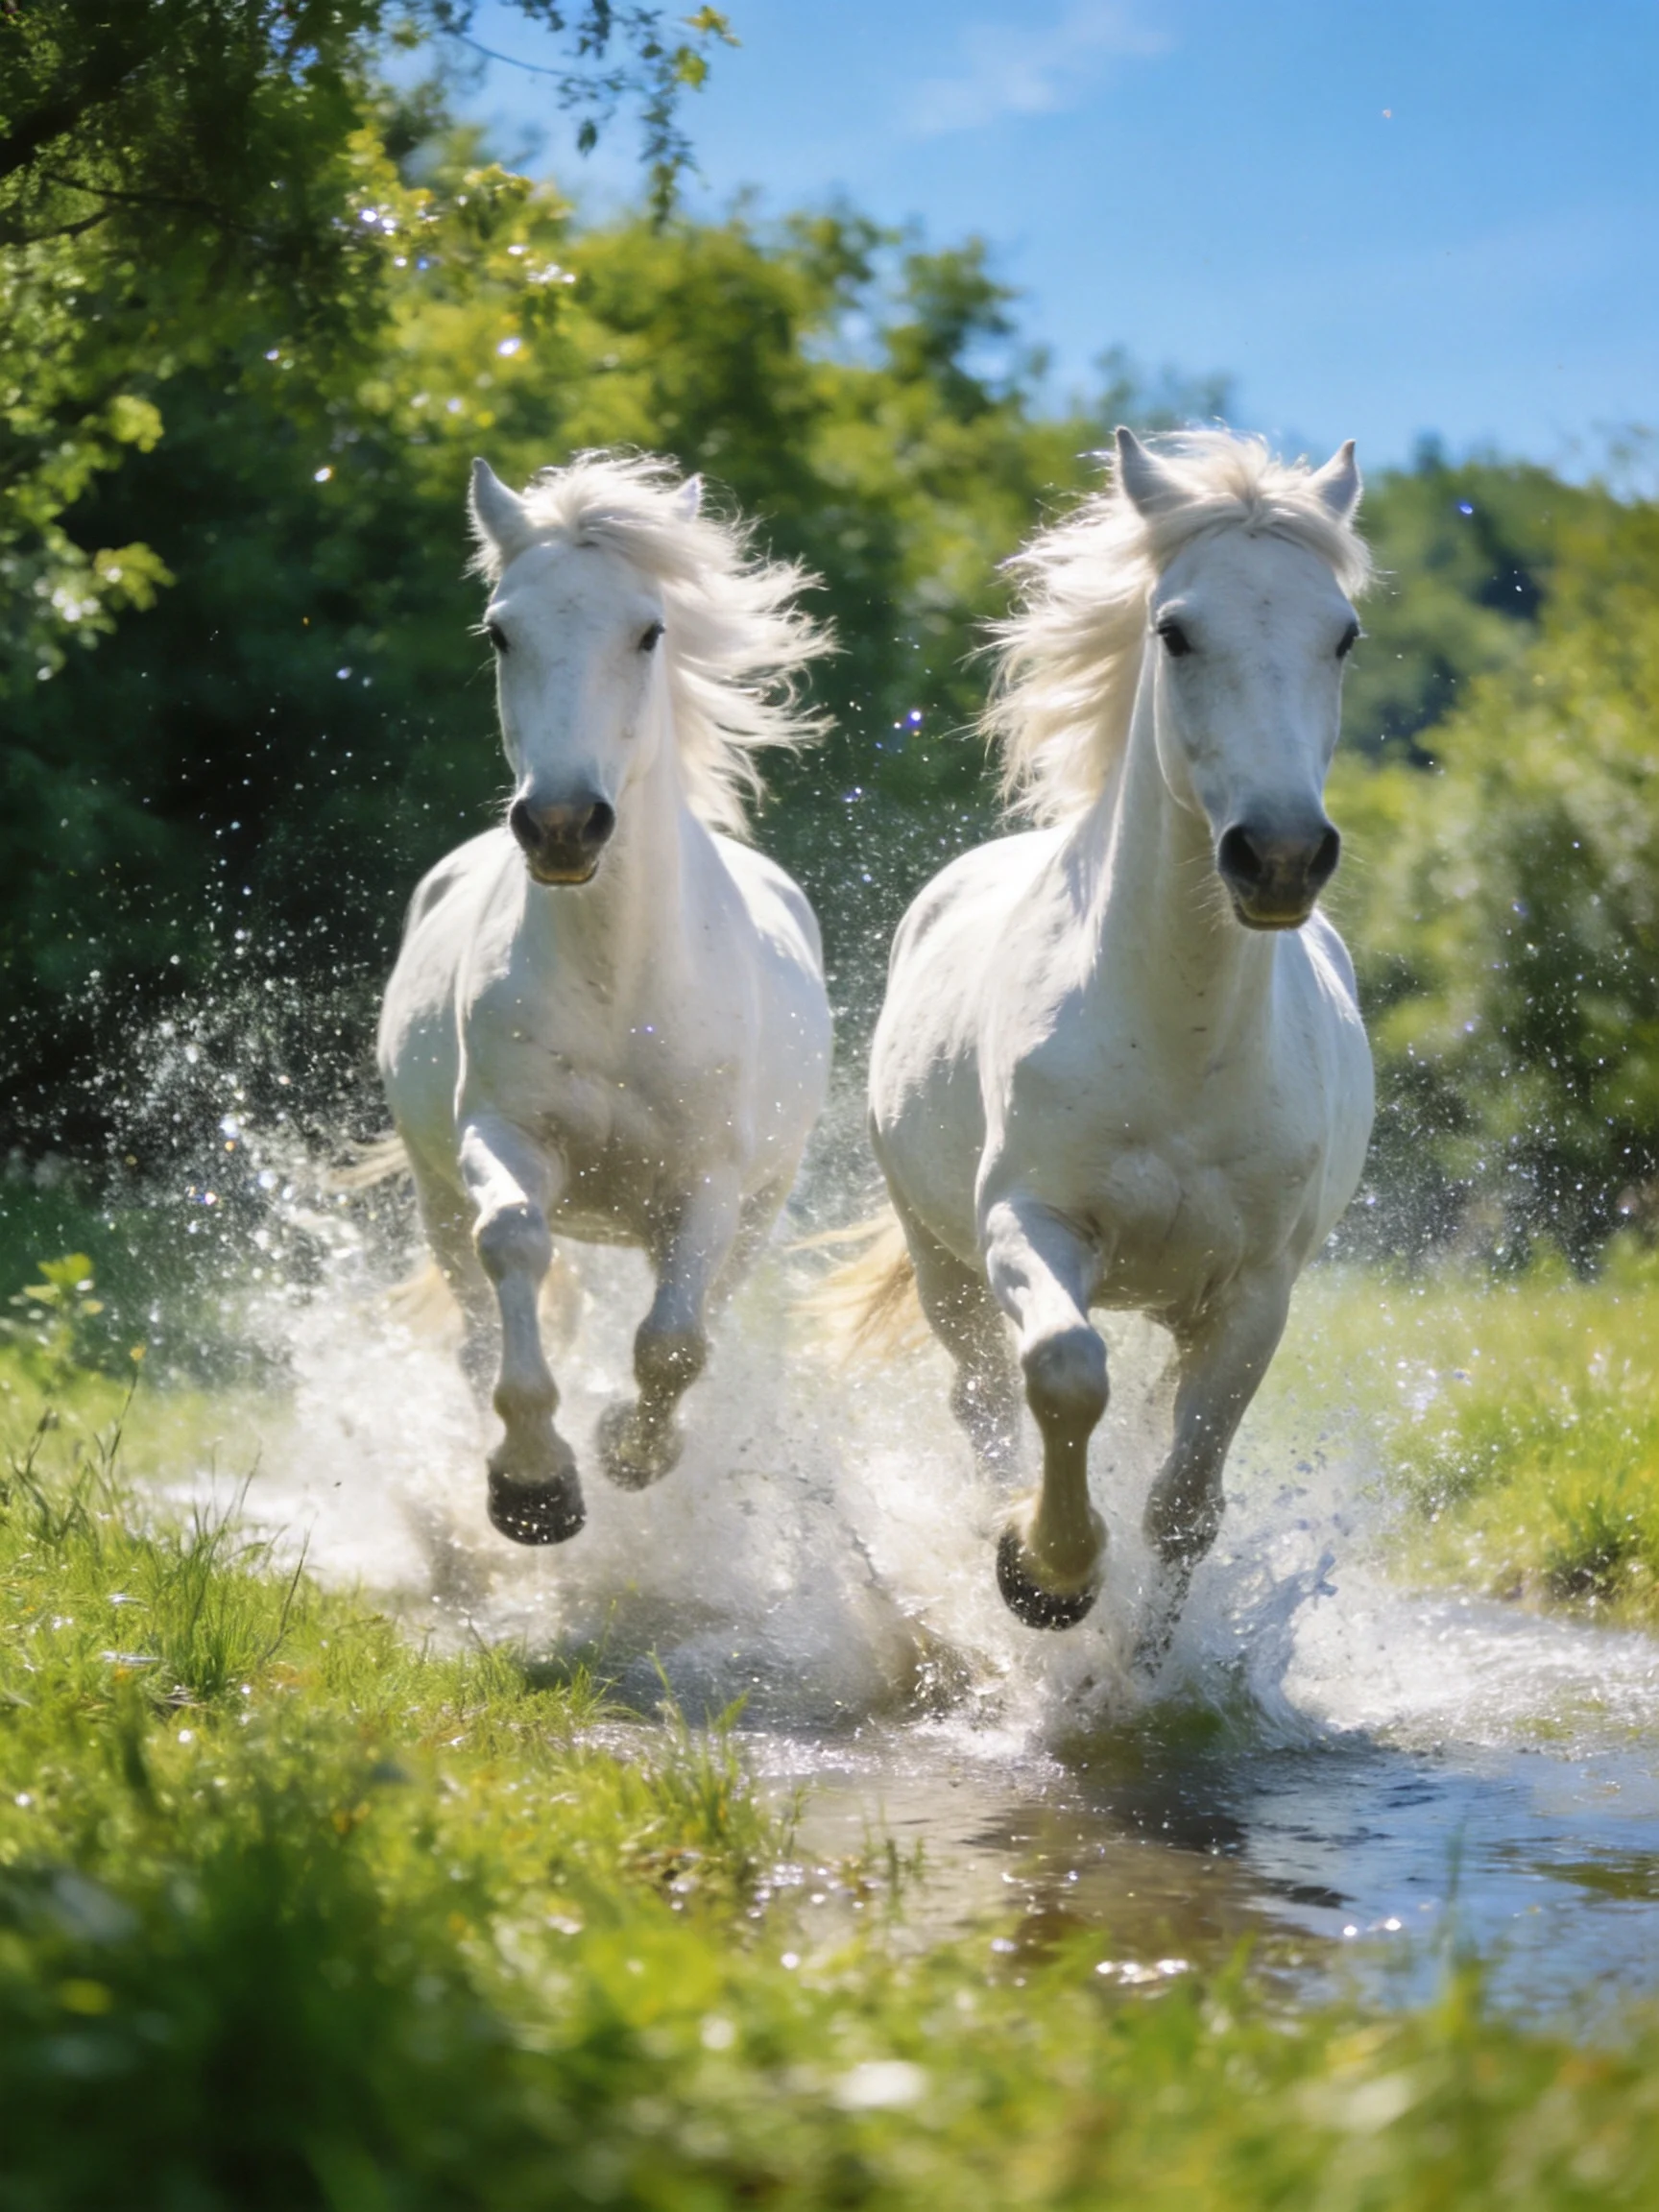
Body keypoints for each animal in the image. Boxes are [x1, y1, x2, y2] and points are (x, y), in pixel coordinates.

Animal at [377, 452, 833, 1546]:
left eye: (650, 630)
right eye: (501, 631)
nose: (561, 824)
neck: (623, 987)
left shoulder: (708, 1185)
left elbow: (674, 1340)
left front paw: (632, 1449)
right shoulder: (501, 1139)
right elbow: (516, 1247)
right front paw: (533, 1485)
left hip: (759, 1209)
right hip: (434, 1194)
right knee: (473, 1316)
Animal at [858, 427, 1375, 1642]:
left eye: (1342, 633)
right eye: (1175, 629)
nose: (1279, 857)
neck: (1177, 1043)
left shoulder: (1253, 1294)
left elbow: (1184, 1500)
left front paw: (1144, 1659)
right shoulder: (1029, 1226)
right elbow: (1062, 1371)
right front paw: (1044, 1573)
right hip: (941, 1259)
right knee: (982, 1397)